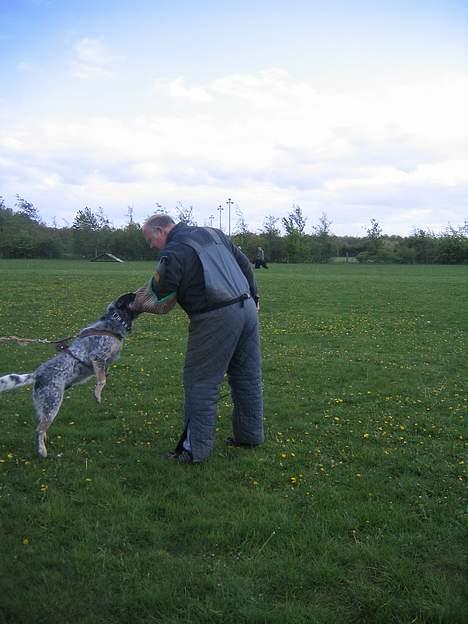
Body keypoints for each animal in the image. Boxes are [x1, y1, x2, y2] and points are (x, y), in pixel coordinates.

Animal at [0, 292, 138, 458]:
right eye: (131, 297)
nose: (138, 293)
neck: (113, 322)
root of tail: (37, 374)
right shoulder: (98, 357)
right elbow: (102, 380)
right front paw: (97, 394)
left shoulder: (106, 361)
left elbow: (104, 374)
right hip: (53, 404)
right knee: (39, 429)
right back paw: (42, 451)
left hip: (43, 406)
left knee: (40, 426)